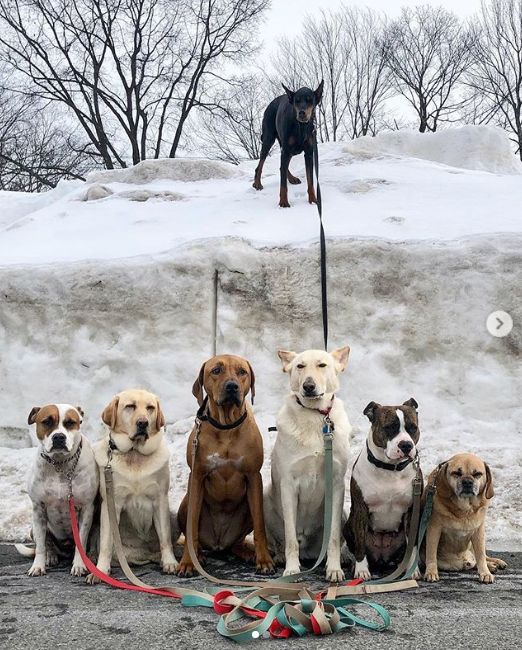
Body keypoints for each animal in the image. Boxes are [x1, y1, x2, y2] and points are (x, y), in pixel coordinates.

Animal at [176, 354, 272, 572]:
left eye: (242, 372)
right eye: (216, 370)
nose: (232, 386)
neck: (226, 426)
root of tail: (218, 543)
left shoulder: (254, 476)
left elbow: (260, 526)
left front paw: (264, 559)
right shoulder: (197, 476)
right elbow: (191, 526)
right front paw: (188, 562)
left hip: (247, 507)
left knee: (236, 542)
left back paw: (247, 552)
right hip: (185, 503)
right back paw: (199, 555)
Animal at [422, 450, 504, 584]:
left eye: (477, 474)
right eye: (456, 473)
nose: (467, 482)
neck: (464, 509)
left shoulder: (478, 532)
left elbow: (481, 556)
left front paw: (485, 572)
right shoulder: (434, 529)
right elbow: (431, 554)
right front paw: (431, 572)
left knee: (482, 557)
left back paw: (494, 564)